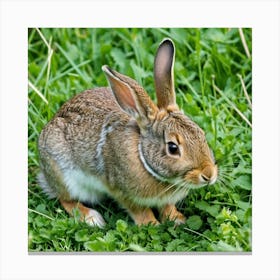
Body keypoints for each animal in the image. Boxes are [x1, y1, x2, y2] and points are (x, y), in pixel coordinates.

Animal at [37, 38, 219, 228]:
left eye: (202, 134)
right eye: (173, 148)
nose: (209, 175)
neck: (143, 158)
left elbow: (167, 206)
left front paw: (176, 219)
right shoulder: (121, 190)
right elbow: (139, 210)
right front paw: (151, 224)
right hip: (64, 176)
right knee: (66, 199)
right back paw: (92, 218)